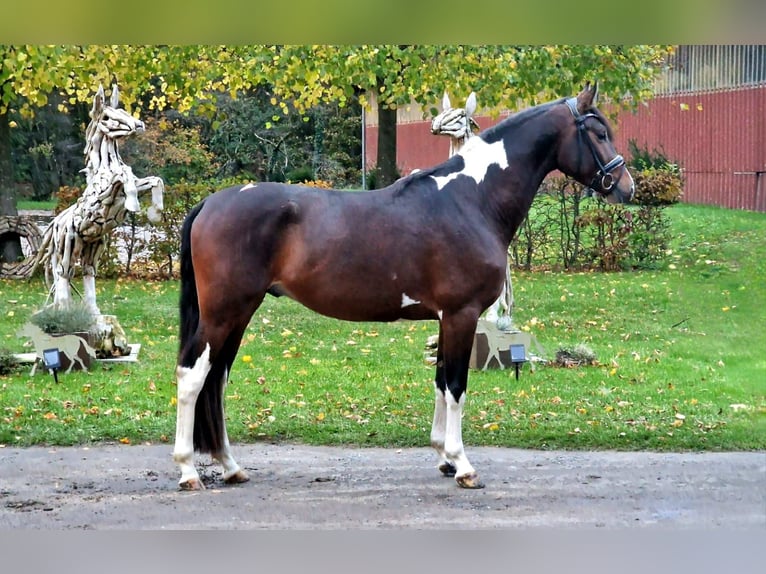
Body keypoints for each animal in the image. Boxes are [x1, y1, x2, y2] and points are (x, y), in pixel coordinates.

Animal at [174, 83, 636, 492]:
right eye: (598, 133)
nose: (627, 188)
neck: (472, 199)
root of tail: (210, 202)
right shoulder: (462, 314)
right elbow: (456, 387)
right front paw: (463, 465)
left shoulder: (446, 318)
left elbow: (440, 382)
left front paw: (444, 458)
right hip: (224, 313)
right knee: (193, 376)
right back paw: (188, 471)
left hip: (238, 314)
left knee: (216, 380)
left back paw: (230, 466)